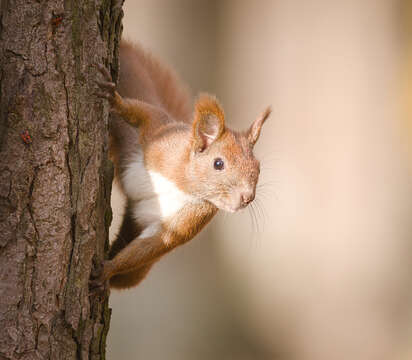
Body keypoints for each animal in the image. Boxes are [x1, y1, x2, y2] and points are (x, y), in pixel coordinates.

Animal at [93, 40, 272, 292]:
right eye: (218, 164)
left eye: (258, 167)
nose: (247, 197)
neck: (183, 183)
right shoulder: (161, 136)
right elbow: (143, 113)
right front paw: (113, 99)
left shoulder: (190, 219)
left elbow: (153, 245)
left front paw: (108, 269)